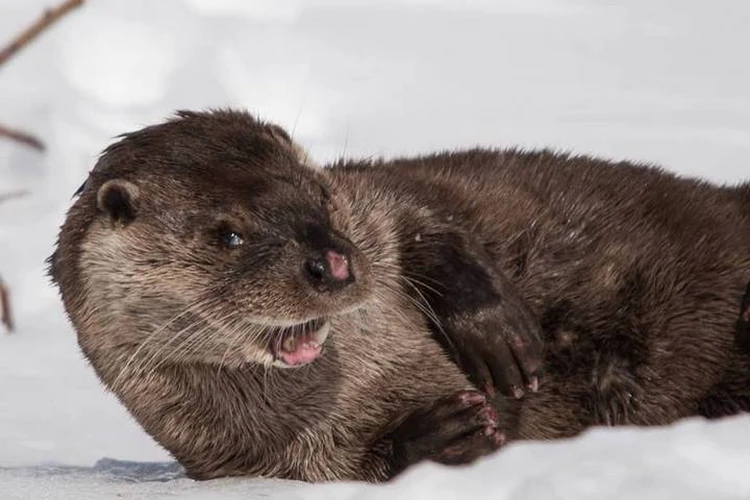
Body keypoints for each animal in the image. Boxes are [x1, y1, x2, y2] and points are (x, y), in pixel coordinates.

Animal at [50, 108, 750, 480]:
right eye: (228, 234)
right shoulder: (236, 457)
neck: (361, 375)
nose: (332, 263)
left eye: (320, 198)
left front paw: (495, 331)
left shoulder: (379, 200)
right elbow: (344, 468)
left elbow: (423, 216)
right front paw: (443, 434)